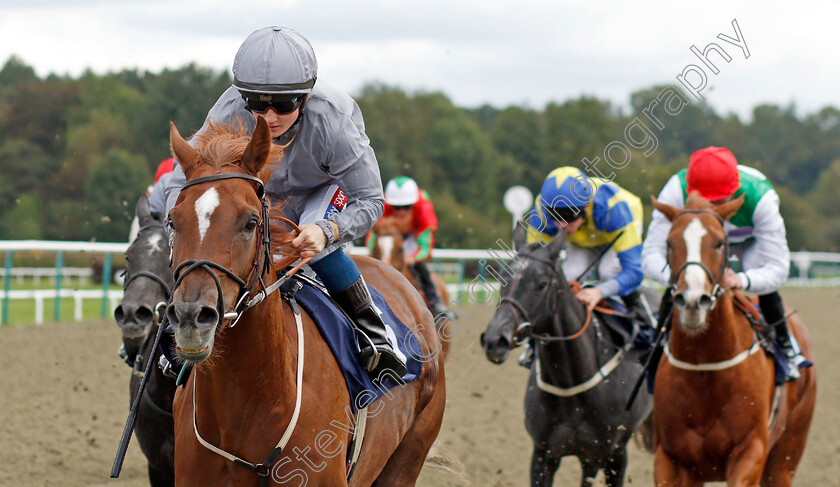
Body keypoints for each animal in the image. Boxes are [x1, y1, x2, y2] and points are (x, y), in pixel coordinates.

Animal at [480, 227, 656, 486]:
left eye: (542, 284)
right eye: (502, 276)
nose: (494, 340)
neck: (570, 382)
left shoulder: (611, 454)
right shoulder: (543, 454)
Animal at [652, 193, 816, 486]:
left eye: (719, 242)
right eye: (669, 243)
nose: (692, 301)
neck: (704, 368)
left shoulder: (751, 451)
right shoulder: (670, 457)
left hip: (785, 456)